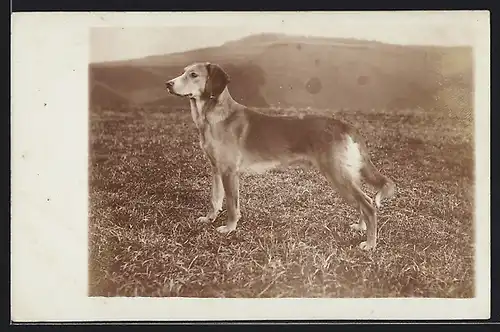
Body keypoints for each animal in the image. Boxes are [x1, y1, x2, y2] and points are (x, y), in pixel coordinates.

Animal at [166, 62, 396, 250]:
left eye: (193, 75)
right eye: (184, 72)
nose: (168, 84)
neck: (214, 116)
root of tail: (346, 126)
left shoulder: (230, 173)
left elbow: (231, 204)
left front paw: (229, 228)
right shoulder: (216, 170)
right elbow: (215, 199)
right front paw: (209, 219)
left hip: (338, 176)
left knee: (368, 205)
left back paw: (370, 244)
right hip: (346, 177)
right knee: (363, 203)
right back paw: (360, 227)